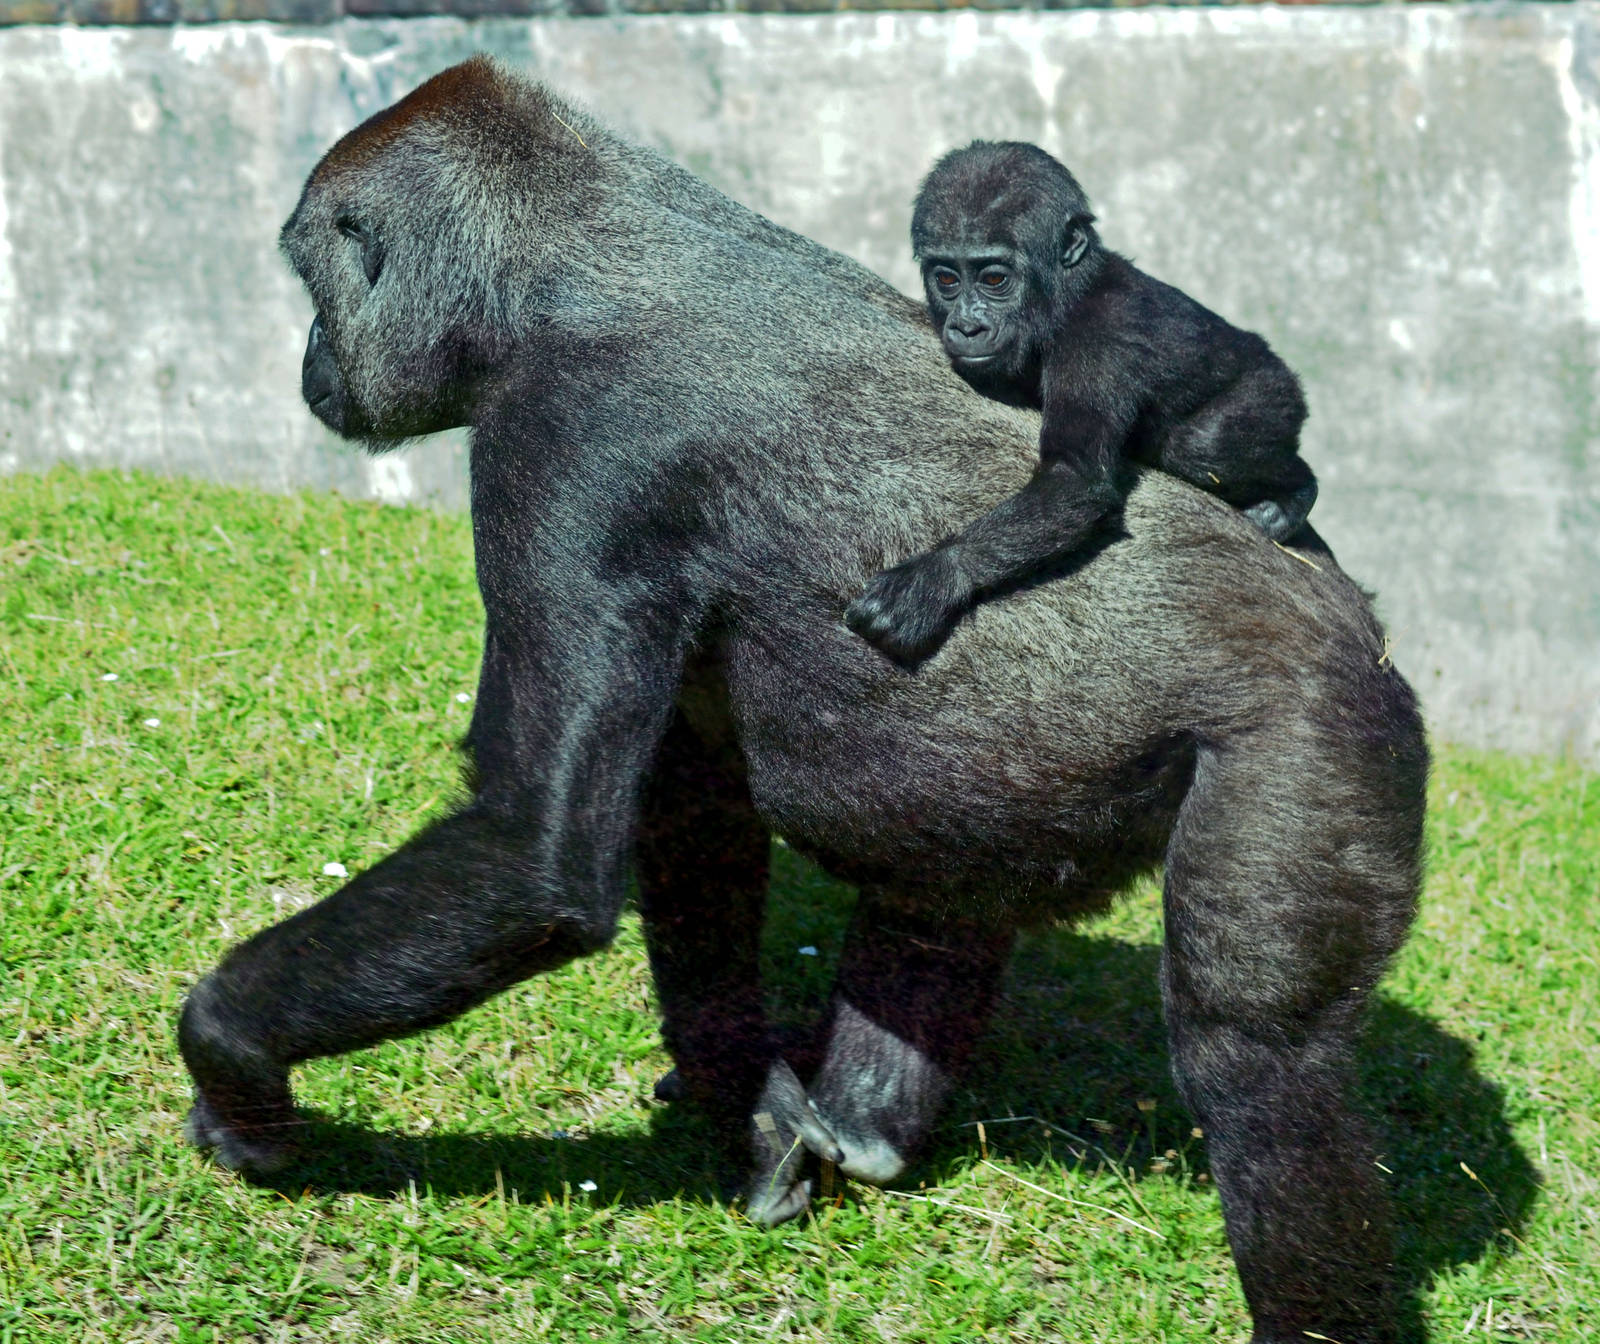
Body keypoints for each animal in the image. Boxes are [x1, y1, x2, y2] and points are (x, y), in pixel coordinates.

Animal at [845, 141, 1320, 665]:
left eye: (994, 279)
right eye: (947, 280)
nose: (967, 326)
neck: (1070, 291)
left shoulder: (1098, 341)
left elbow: (1075, 478)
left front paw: (936, 576)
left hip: (1274, 390)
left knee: (1205, 445)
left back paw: (1296, 495)